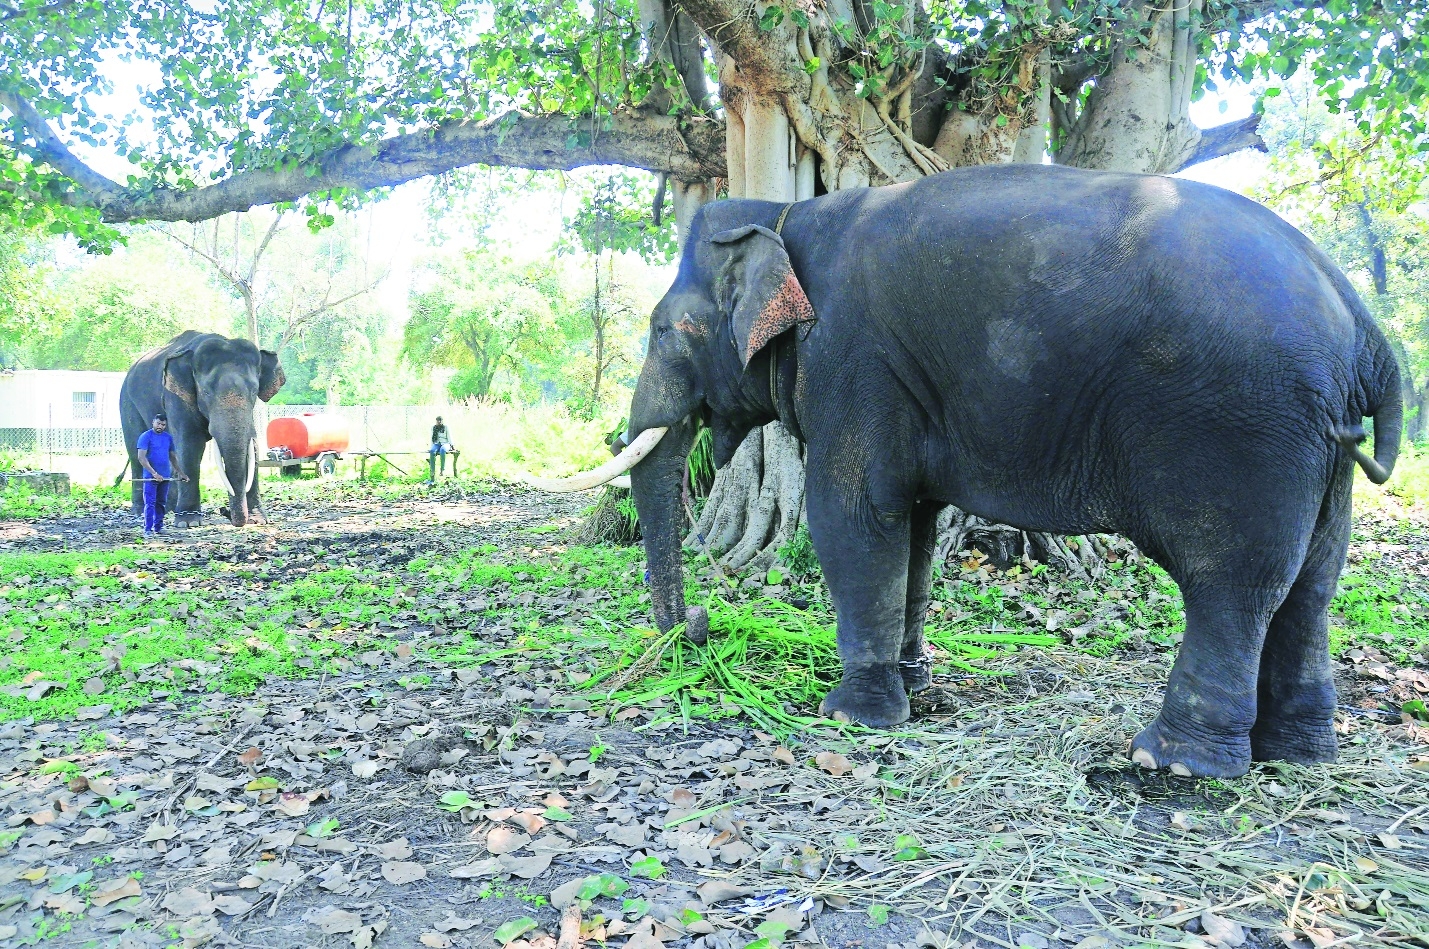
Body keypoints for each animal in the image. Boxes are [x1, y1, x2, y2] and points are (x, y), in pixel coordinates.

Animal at [119, 331, 286, 527]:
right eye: (206, 392)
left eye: (254, 391)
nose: (225, 511)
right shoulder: (175, 397)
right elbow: (189, 445)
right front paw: (188, 522)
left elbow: (252, 447)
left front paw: (258, 520)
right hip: (127, 402)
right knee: (136, 451)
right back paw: (140, 510)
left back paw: (168, 509)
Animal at [538, 164, 1403, 780]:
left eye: (662, 329)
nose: (695, 628)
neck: (784, 212)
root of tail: (1361, 325)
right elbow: (913, 529)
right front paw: (913, 686)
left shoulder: (852, 360)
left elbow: (852, 515)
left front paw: (850, 716)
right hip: (1318, 447)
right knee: (1311, 583)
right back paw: (1297, 751)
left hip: (1241, 430)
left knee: (1232, 582)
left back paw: (1172, 762)